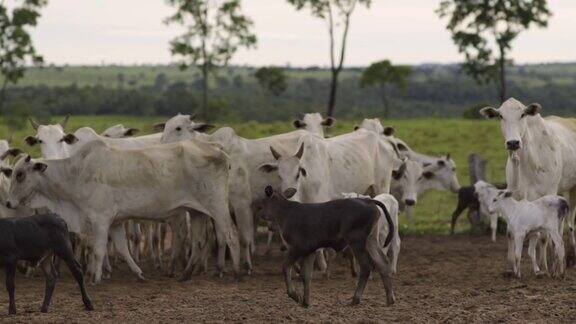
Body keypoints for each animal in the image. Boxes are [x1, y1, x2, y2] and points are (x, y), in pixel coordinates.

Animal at [4, 140, 240, 284]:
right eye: (13, 173)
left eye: (20, 174)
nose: (8, 202)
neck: (75, 173)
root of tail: (218, 149)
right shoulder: (116, 222)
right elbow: (122, 249)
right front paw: (139, 273)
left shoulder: (100, 219)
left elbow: (99, 250)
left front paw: (95, 278)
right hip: (197, 212)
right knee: (199, 242)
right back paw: (185, 275)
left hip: (217, 206)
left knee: (231, 236)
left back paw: (238, 272)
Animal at [480, 98, 576, 266]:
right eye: (500, 115)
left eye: (523, 114)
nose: (513, 143)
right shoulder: (513, 194)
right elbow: (511, 232)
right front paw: (511, 265)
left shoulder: (549, 192)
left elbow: (543, 236)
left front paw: (543, 266)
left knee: (570, 225)